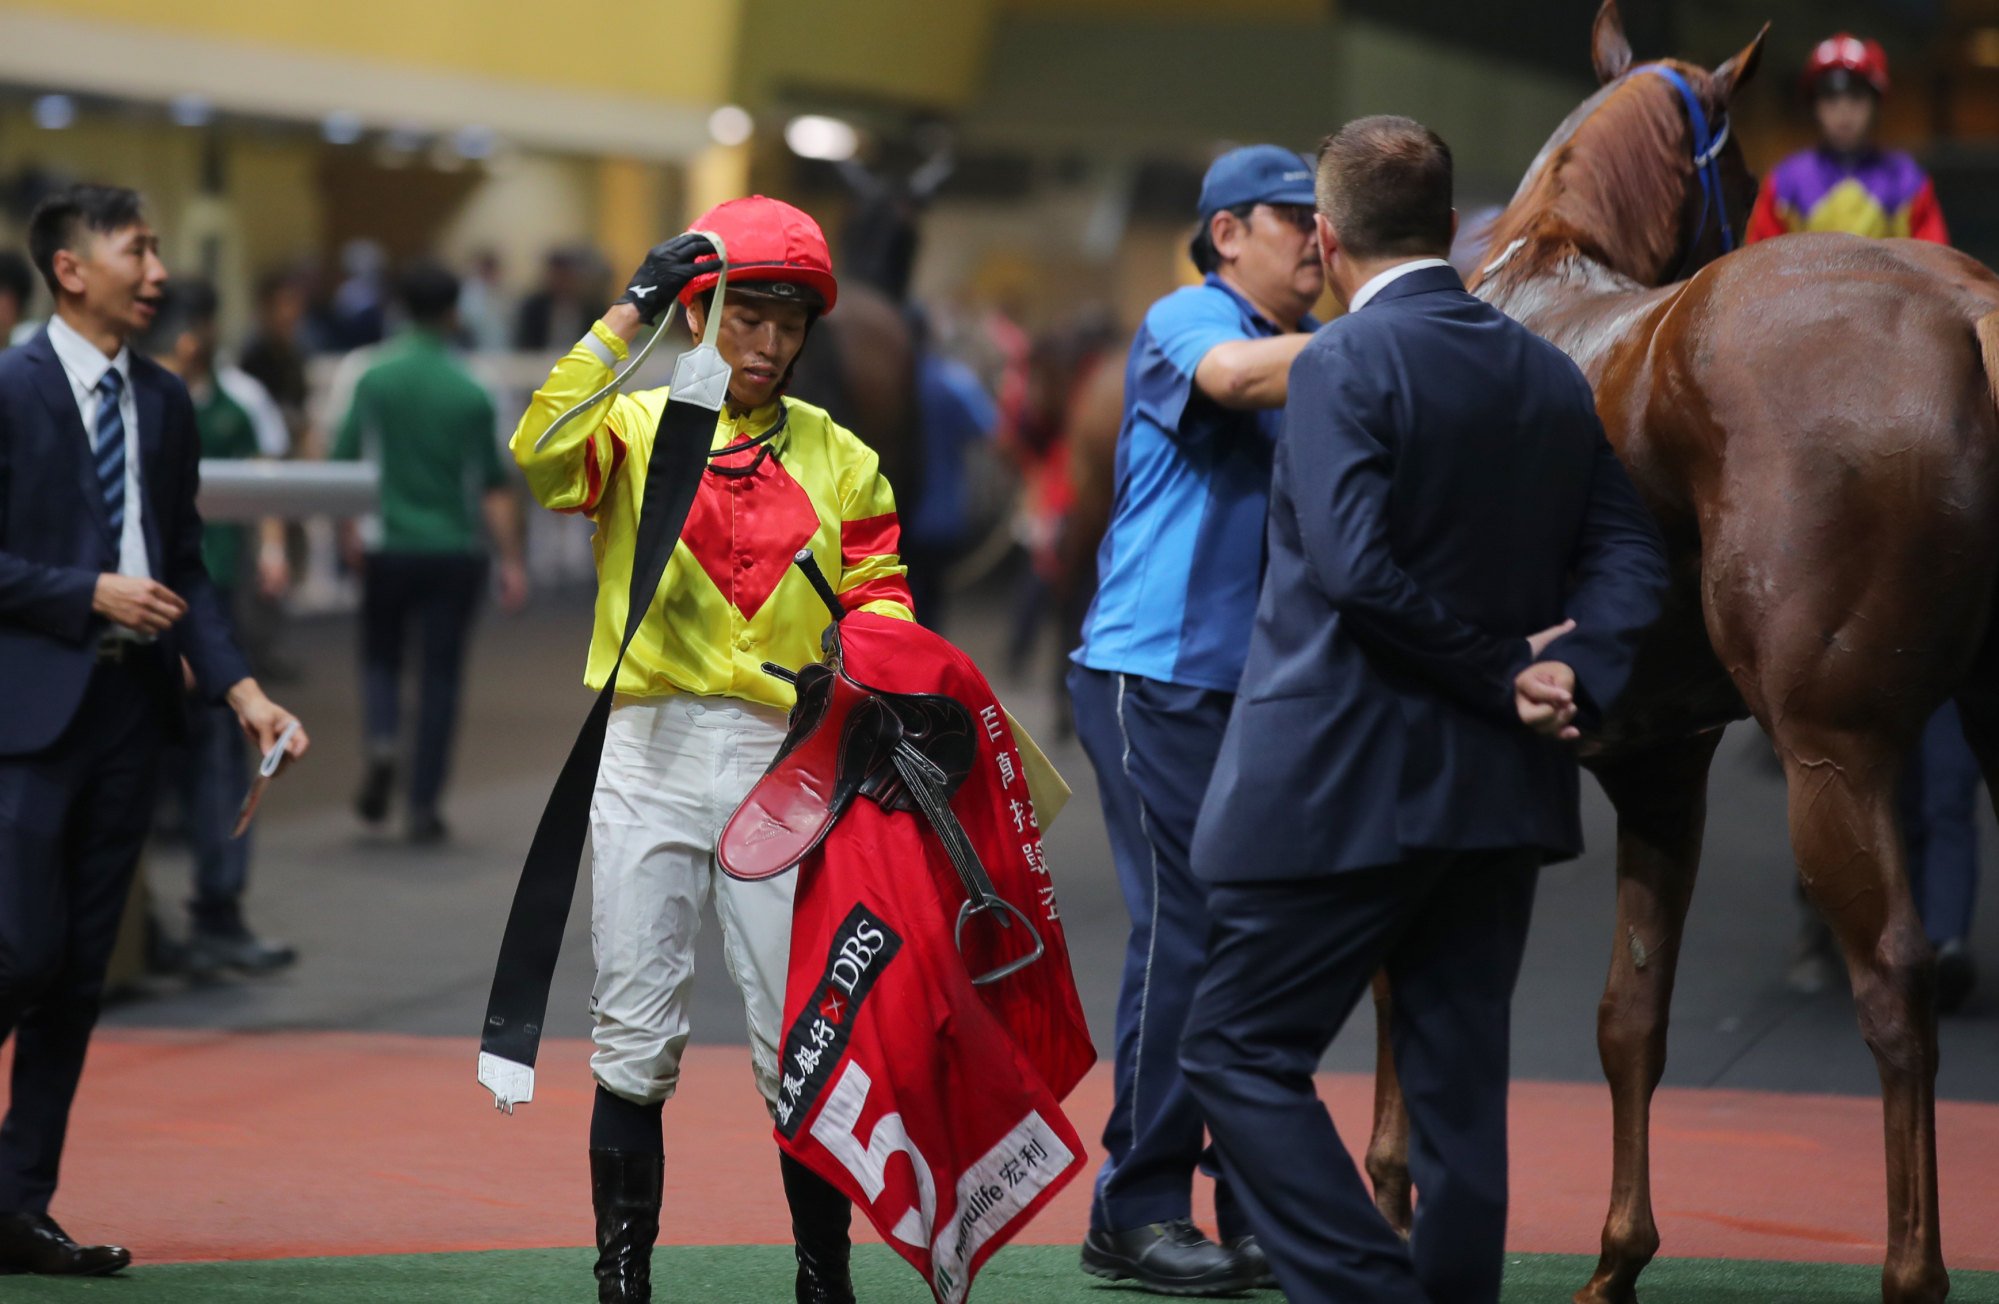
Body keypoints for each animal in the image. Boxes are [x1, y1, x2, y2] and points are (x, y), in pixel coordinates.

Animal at [1367, 5, 1999, 1296]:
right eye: (1750, 175)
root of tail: (1963, 313)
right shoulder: (1662, 763)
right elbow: (1629, 1014)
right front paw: (1617, 1251)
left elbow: (1410, 976)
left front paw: (1398, 1192)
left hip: (1832, 752)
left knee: (1894, 978)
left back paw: (1912, 1266)